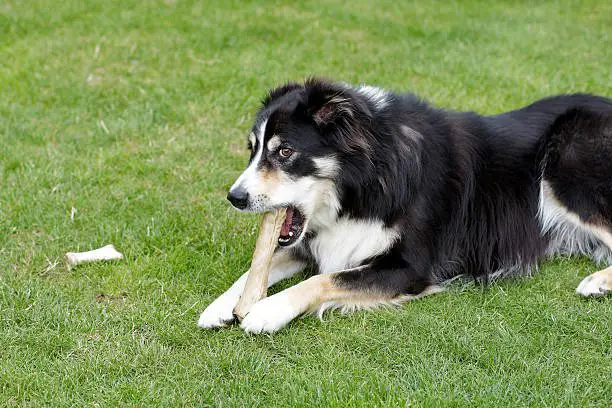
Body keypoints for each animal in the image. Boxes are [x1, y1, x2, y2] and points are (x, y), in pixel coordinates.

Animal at [200, 78, 612, 334]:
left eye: (285, 151)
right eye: (252, 149)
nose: (234, 198)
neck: (363, 183)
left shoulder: (410, 267)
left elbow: (323, 279)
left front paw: (268, 310)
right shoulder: (315, 241)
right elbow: (261, 266)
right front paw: (220, 305)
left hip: (567, 162)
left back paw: (597, 282)